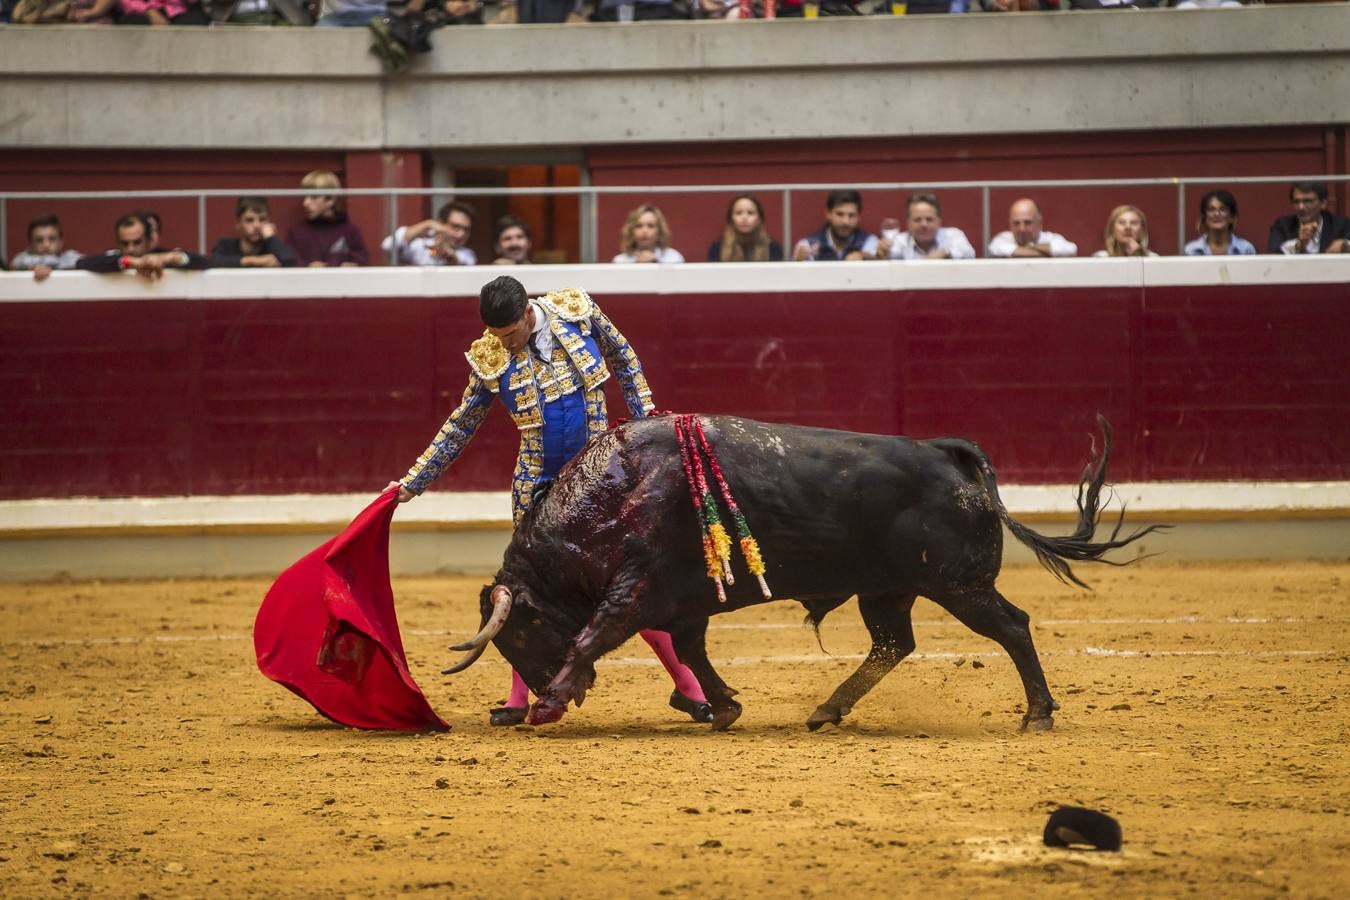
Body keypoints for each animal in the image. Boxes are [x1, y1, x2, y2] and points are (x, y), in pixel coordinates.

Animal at [442, 415, 1161, 734]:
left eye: (517, 634)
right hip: (888, 590)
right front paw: (724, 707)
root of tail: (949, 454)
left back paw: (1037, 714)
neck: (616, 492)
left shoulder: (638, 587)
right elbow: (692, 651)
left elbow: (598, 632)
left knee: (1012, 627)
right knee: (893, 643)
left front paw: (551, 703)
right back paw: (826, 709)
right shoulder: (683, 603)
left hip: (960, 586)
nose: (538, 689)